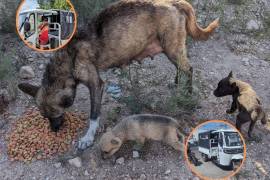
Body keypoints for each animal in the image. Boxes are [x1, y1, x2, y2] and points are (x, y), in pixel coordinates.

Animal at [17, 0, 219, 149]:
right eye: (45, 117)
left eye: (55, 115)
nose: (54, 131)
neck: (68, 57)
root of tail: (174, 3)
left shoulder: (96, 84)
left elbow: (94, 115)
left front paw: (88, 138)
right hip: (170, 50)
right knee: (180, 69)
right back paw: (177, 85)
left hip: (173, 49)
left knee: (189, 69)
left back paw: (187, 95)